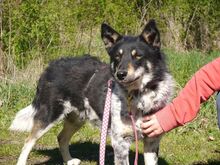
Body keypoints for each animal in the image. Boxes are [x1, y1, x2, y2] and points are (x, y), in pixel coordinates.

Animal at [9, 19, 174, 165]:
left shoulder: (152, 141)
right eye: (117, 57)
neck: (138, 96)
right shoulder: (120, 143)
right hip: (49, 116)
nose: (120, 74)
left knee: (61, 137)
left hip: (77, 117)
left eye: (138, 55)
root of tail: (50, 66)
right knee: (28, 141)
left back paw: (69, 161)